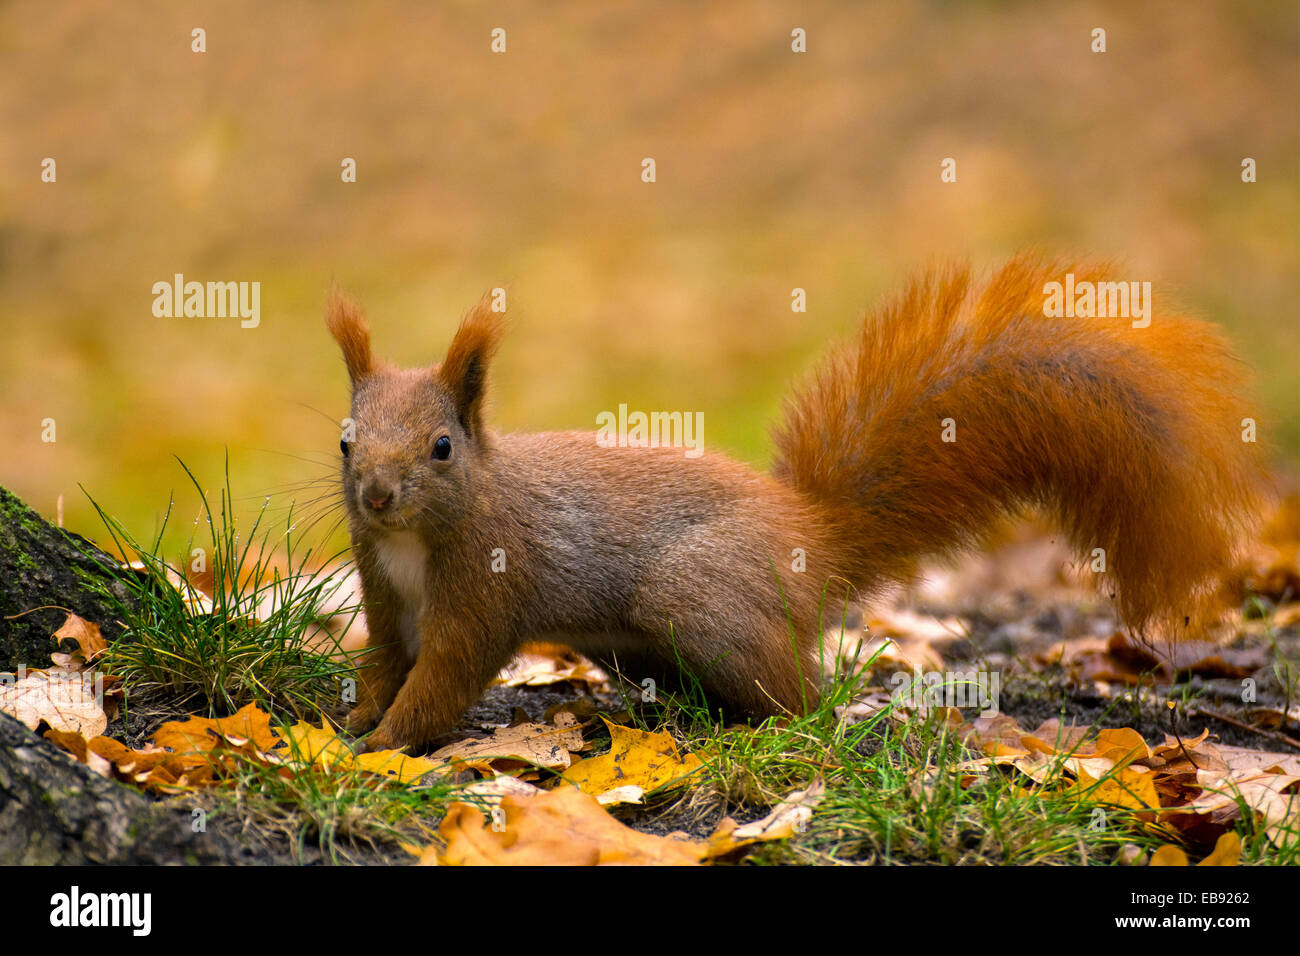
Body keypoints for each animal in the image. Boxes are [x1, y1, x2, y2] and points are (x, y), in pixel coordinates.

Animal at [327, 254, 1268, 754]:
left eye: (442, 447)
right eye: (344, 439)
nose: (375, 495)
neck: (419, 539)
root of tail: (811, 533)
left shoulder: (486, 585)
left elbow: (444, 678)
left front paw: (382, 744)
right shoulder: (385, 589)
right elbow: (386, 661)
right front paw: (356, 717)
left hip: (700, 598)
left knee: (804, 693)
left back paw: (777, 726)